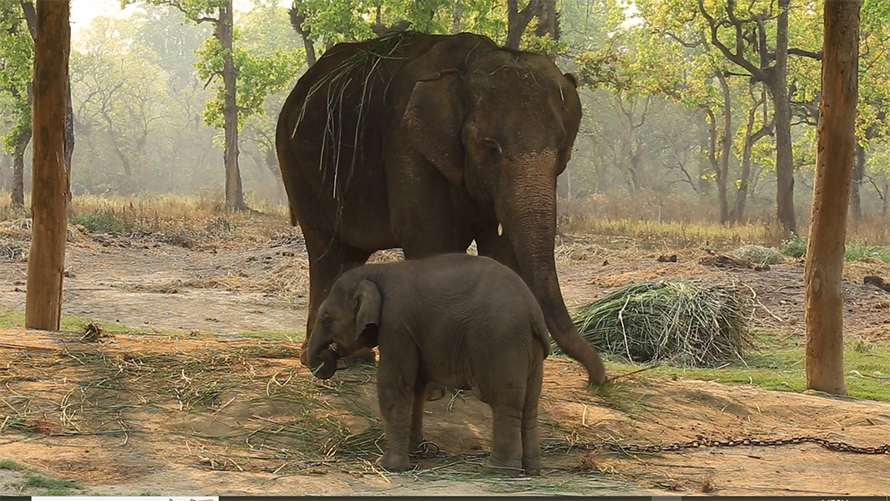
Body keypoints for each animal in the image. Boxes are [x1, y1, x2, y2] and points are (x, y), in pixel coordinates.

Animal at [275, 31, 608, 386]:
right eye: (491, 148)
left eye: (561, 151)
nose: (596, 379)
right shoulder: (408, 145)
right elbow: (430, 239)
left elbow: (503, 250)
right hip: (294, 163)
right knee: (325, 249)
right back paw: (319, 361)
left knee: (351, 254)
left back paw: (355, 356)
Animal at [307, 253, 549, 475]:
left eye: (327, 318)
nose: (329, 355)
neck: (378, 271)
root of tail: (533, 310)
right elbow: (415, 389)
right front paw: (415, 453)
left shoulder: (396, 326)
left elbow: (393, 386)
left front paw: (388, 466)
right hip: (530, 348)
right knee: (529, 405)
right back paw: (532, 470)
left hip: (501, 343)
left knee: (505, 403)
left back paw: (500, 471)